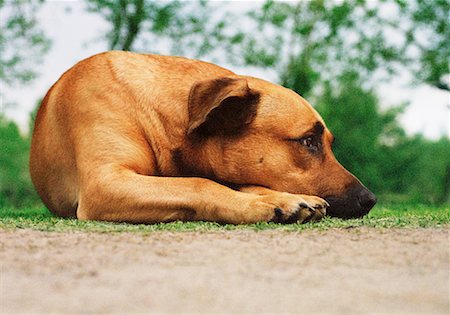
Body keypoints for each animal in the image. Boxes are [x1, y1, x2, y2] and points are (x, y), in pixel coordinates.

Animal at [29, 51, 376, 225]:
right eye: (308, 141)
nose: (370, 199)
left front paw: (277, 197)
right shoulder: (105, 183)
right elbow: (199, 184)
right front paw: (266, 204)